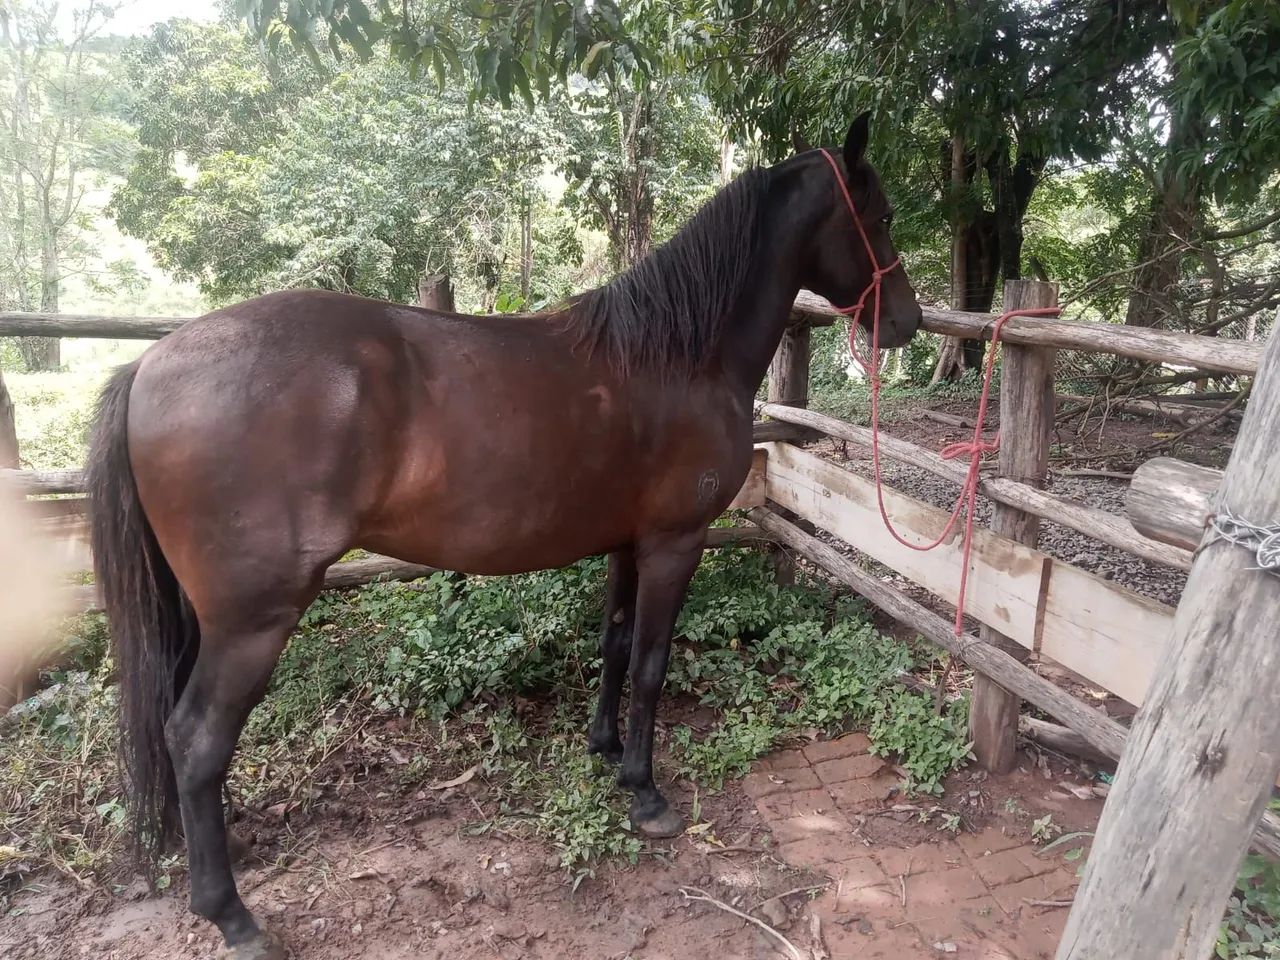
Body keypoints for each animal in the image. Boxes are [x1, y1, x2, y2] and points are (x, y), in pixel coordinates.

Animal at [86, 111, 922, 959]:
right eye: (881, 217)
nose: (909, 321)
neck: (680, 357)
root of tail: (150, 364)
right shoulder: (673, 543)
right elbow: (652, 665)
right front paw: (646, 794)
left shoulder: (627, 542)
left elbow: (616, 644)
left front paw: (605, 749)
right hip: (254, 618)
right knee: (197, 737)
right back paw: (230, 912)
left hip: (205, 615)